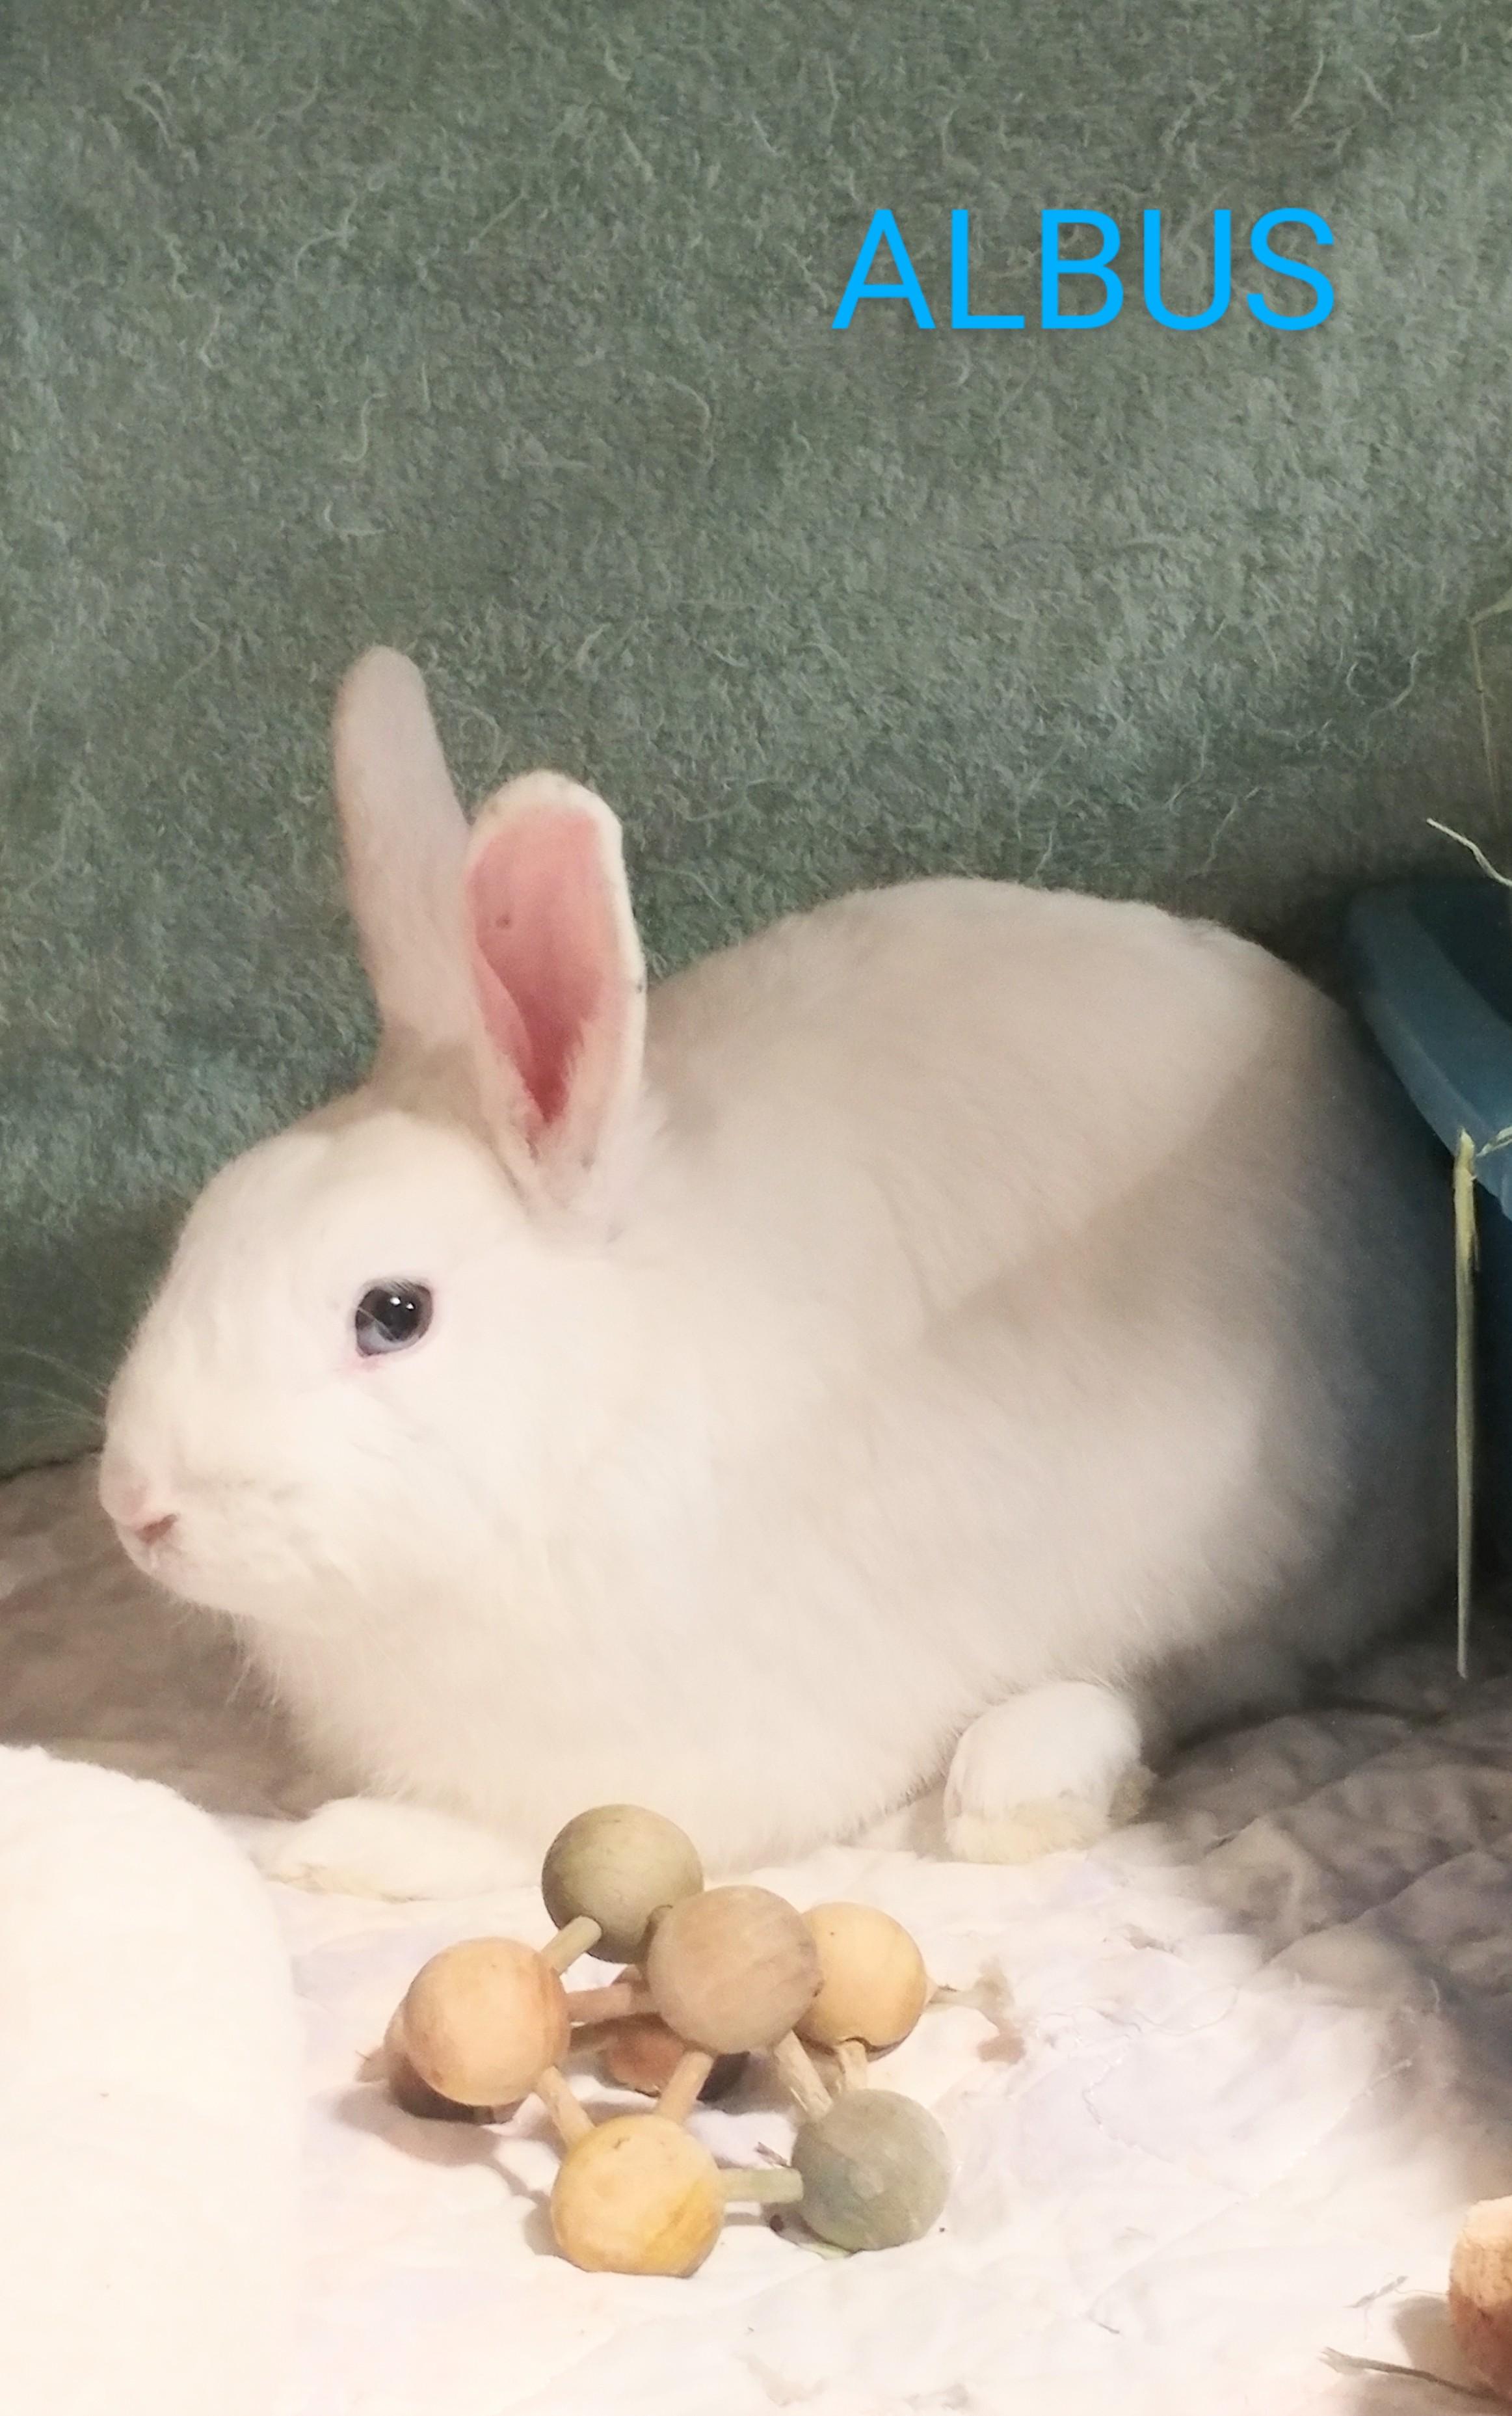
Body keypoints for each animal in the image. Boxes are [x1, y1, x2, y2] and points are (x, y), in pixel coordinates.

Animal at [98, 648, 1453, 1901]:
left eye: (393, 1313)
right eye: (204, 1223)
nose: (136, 1506)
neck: (595, 1412)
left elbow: (537, 1840)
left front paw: (353, 1842)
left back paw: (1011, 1784)